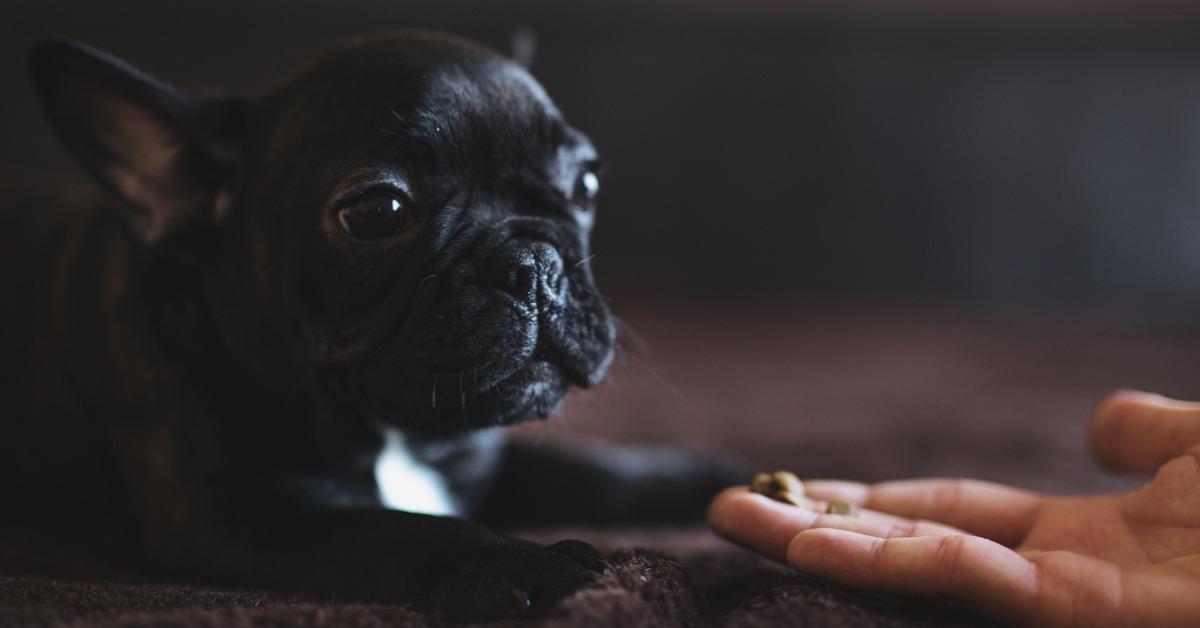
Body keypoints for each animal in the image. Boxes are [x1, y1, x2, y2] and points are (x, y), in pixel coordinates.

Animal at [0, 31, 739, 619]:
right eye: (378, 210)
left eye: (586, 186)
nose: (532, 263)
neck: (392, 436)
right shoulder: (226, 512)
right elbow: (388, 528)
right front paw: (517, 563)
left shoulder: (478, 453)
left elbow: (581, 469)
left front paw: (686, 479)